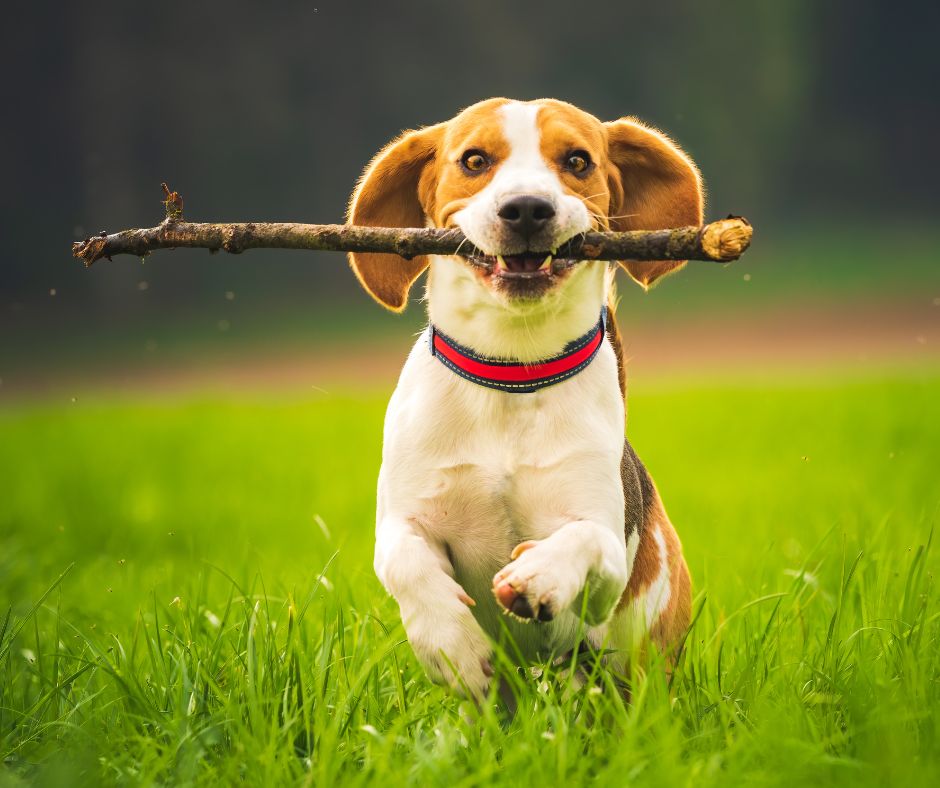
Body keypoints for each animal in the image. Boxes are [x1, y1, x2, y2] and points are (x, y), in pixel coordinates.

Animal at [346, 97, 696, 696]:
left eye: (577, 161)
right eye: (474, 159)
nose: (527, 208)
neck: (513, 371)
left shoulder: (604, 547)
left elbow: (585, 541)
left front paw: (538, 575)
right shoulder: (402, 519)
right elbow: (405, 561)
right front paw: (453, 647)